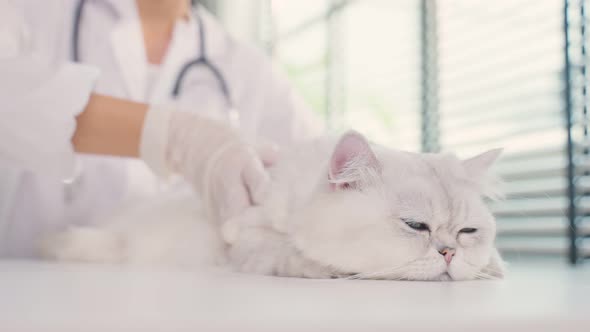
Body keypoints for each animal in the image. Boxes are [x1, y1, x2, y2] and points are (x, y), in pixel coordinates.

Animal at [41, 131, 506, 282]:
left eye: (467, 233)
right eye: (416, 226)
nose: (449, 253)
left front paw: (491, 265)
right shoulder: (244, 238)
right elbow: (288, 254)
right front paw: (325, 268)